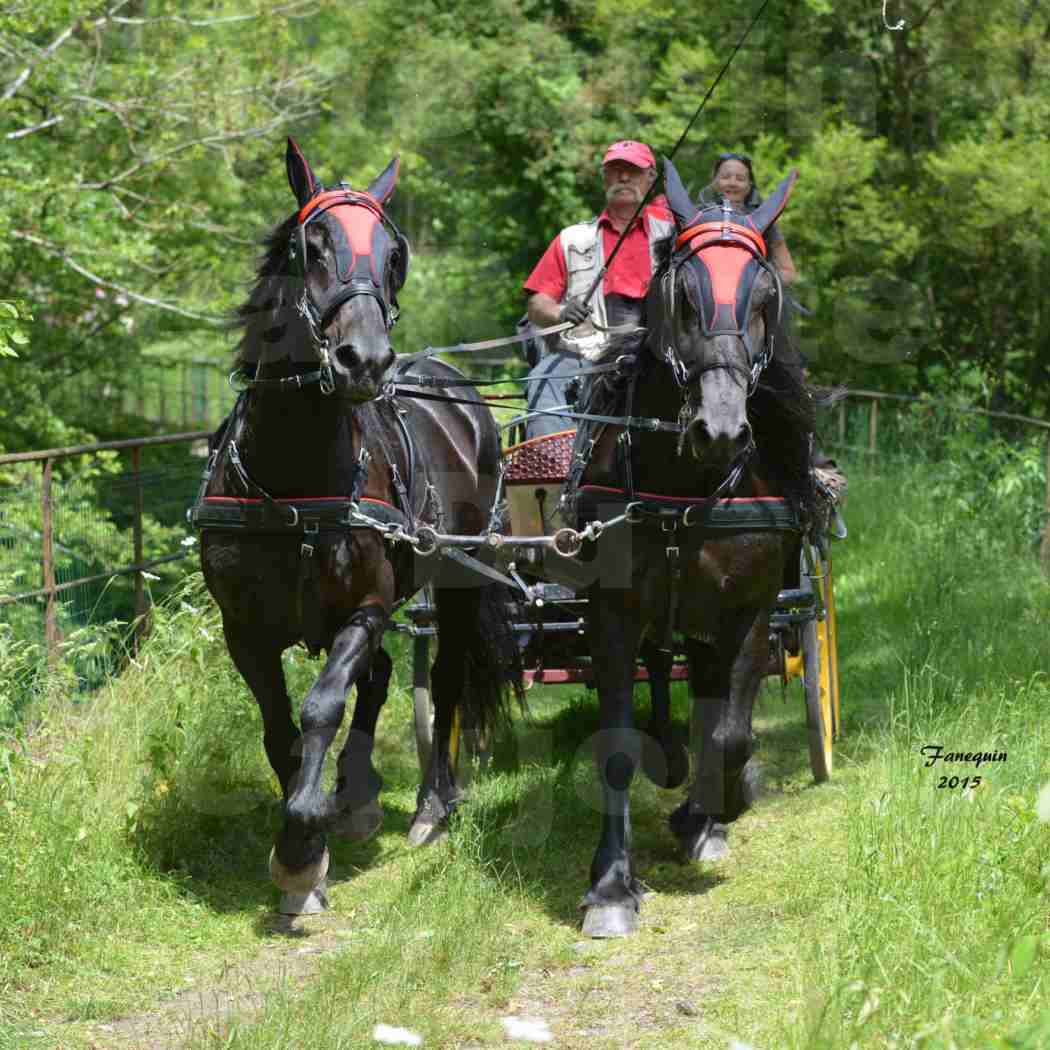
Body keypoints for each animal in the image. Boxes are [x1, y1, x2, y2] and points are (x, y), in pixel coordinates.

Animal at [194, 141, 520, 911]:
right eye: (310, 246)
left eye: (394, 256)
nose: (364, 360)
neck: (293, 479)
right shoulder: (243, 629)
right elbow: (279, 728)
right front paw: (306, 849)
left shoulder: (365, 607)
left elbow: (320, 708)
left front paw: (300, 850)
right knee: (378, 679)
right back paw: (359, 793)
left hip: (456, 579)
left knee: (445, 677)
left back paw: (431, 804)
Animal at [567, 157, 818, 936]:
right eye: (682, 295)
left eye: (765, 299)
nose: (723, 429)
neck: (688, 485)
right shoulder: (612, 613)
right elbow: (618, 744)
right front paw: (611, 885)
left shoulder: (750, 611)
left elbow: (732, 736)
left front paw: (708, 812)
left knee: (714, 703)